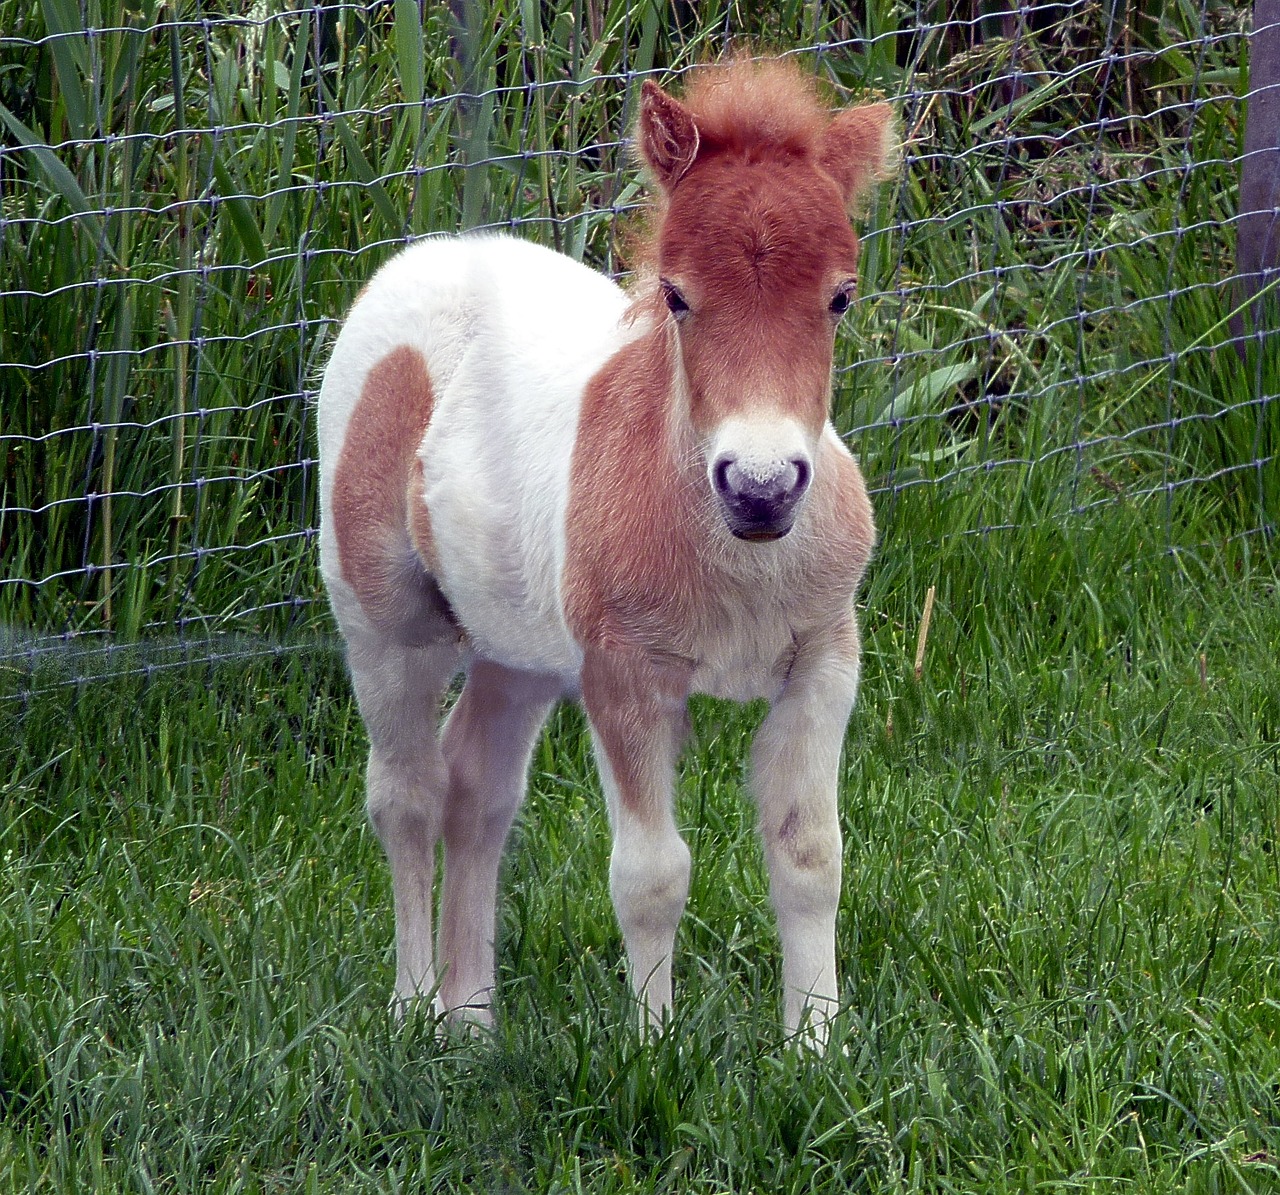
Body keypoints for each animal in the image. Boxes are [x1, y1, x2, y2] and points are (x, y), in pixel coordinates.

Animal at [317, 58, 901, 1049]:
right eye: (676, 295)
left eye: (840, 296)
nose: (760, 487)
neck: (732, 557)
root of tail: (430, 255)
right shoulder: (625, 673)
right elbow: (651, 874)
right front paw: (655, 1050)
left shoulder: (825, 657)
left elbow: (812, 854)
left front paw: (817, 1048)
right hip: (386, 624)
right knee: (408, 794)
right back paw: (414, 1008)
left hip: (518, 649)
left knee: (478, 789)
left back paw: (472, 1022)